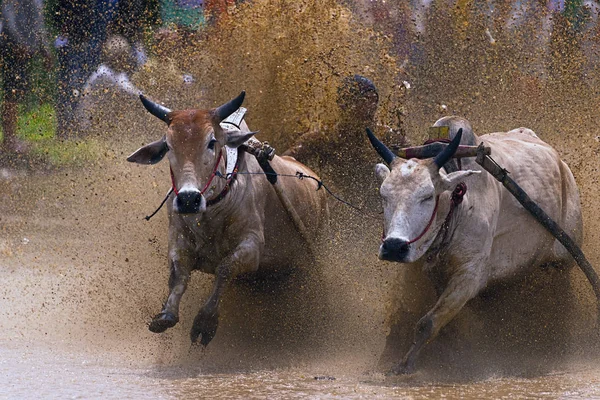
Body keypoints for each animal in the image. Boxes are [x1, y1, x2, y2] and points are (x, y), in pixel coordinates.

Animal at [126, 92, 328, 346]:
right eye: (168, 146)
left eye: (212, 142)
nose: (189, 199)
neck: (212, 212)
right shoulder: (177, 239)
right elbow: (178, 274)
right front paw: (166, 314)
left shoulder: (252, 247)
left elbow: (225, 268)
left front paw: (206, 321)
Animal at [368, 116, 584, 376]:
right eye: (384, 195)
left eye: (428, 196)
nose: (393, 247)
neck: (457, 204)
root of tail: (562, 166)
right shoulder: (417, 265)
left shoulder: (469, 276)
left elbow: (427, 323)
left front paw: (406, 364)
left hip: (564, 260)